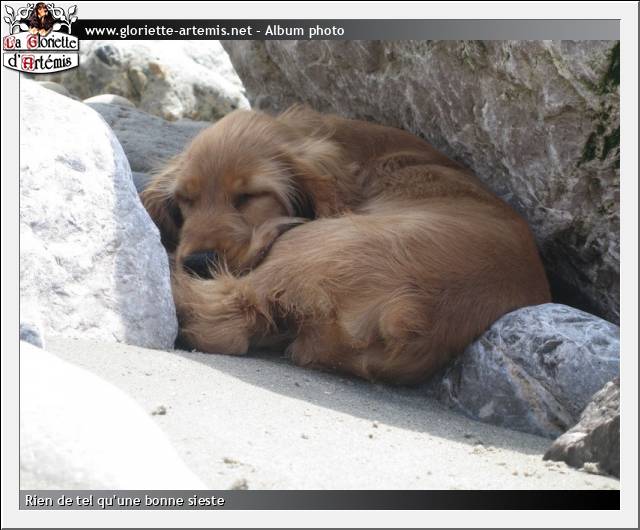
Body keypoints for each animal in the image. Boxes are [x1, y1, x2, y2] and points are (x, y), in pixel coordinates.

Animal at [141, 106, 550, 384]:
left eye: (248, 196)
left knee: (221, 322)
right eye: (185, 201)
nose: (198, 261)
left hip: (303, 245)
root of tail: (404, 311)